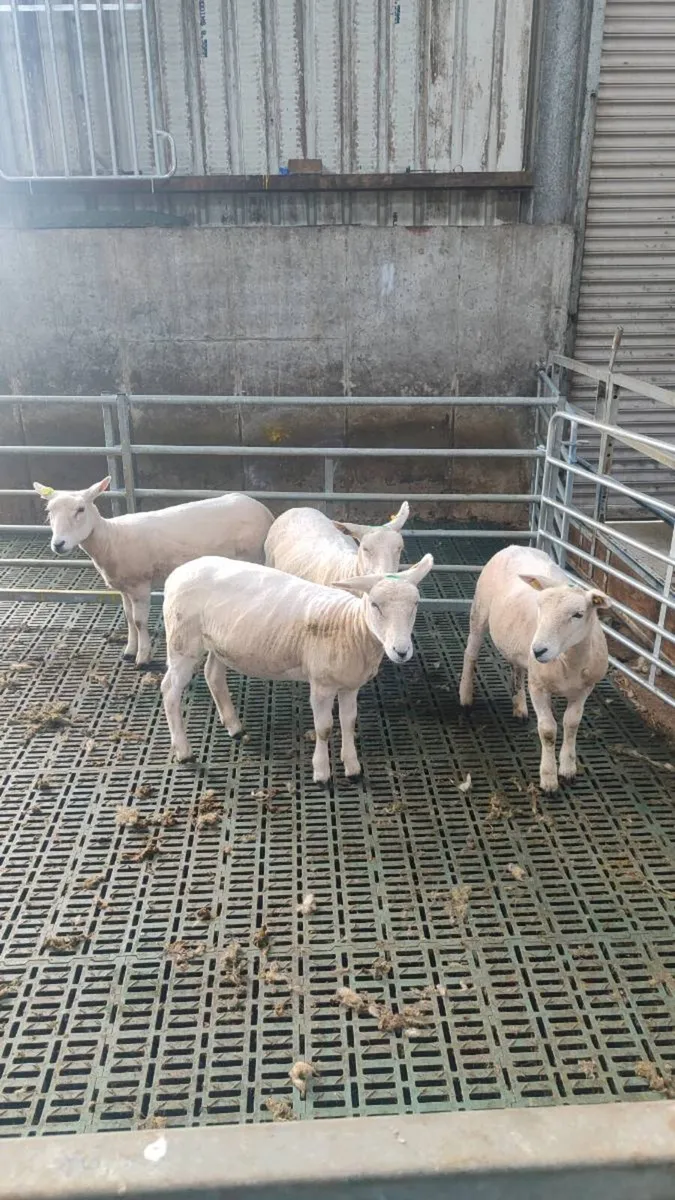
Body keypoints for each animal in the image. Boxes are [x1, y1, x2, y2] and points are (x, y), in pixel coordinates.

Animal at [33, 477, 274, 668]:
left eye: (81, 509)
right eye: (49, 511)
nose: (58, 544)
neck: (111, 539)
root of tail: (263, 510)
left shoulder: (140, 584)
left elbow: (139, 621)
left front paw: (142, 657)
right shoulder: (124, 587)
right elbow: (128, 618)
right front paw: (129, 650)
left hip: (253, 556)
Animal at [160, 551, 434, 782]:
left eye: (416, 603)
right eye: (375, 604)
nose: (401, 651)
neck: (351, 628)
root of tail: (178, 572)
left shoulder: (350, 684)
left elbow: (348, 722)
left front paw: (353, 767)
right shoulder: (321, 685)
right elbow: (324, 728)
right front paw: (322, 773)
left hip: (219, 643)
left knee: (213, 675)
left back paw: (234, 726)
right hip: (182, 641)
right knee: (169, 690)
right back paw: (184, 751)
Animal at [459, 545, 610, 793]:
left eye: (578, 614)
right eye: (540, 607)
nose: (538, 650)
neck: (568, 662)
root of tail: (515, 547)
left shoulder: (584, 689)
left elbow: (571, 724)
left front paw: (568, 769)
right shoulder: (538, 687)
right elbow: (548, 730)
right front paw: (548, 779)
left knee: (517, 669)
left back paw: (519, 706)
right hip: (479, 611)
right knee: (470, 653)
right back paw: (466, 696)